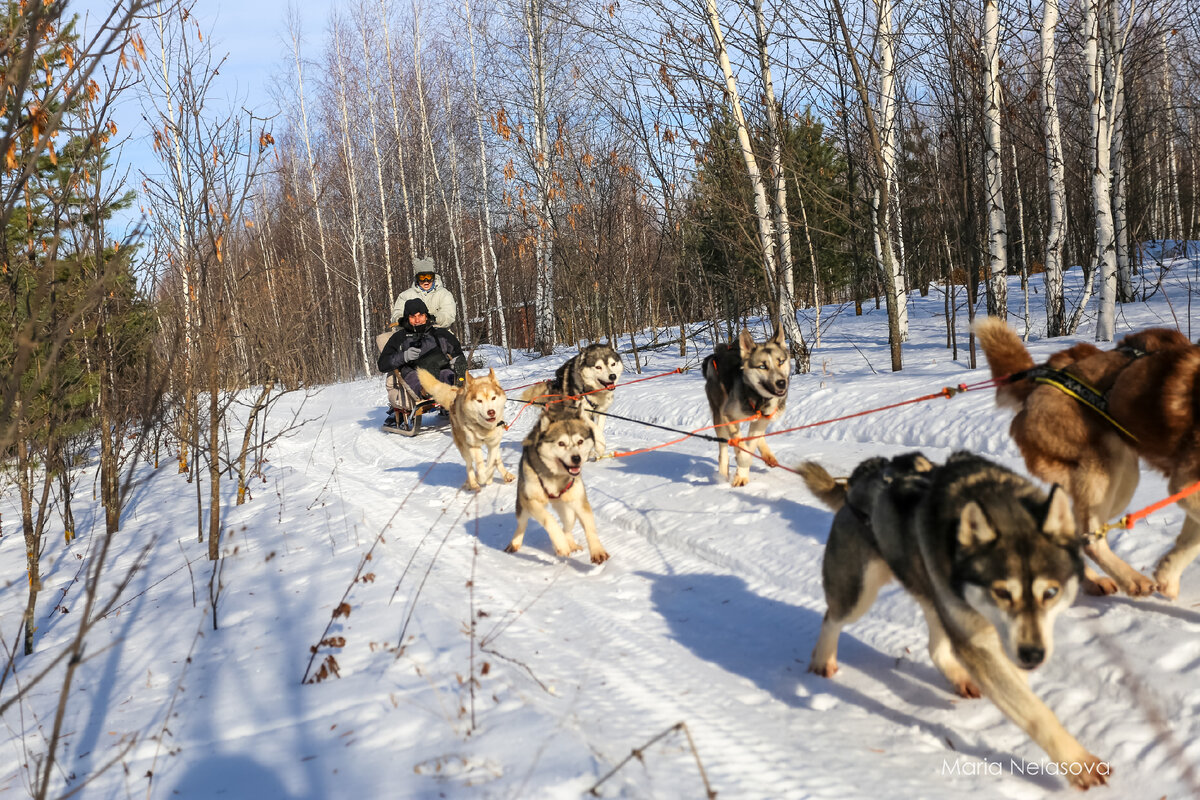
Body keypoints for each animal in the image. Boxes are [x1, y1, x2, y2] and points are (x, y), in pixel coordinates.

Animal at [504, 410, 609, 566]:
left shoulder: (580, 501)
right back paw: (515, 543)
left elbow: (590, 528)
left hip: (568, 511)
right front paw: (561, 544)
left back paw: (571, 543)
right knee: (522, 524)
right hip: (522, 506)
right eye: (561, 443)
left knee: (567, 527)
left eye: (580, 441)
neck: (556, 476)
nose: (576, 458)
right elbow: (549, 520)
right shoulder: (532, 501)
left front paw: (597, 551)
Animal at [700, 326, 792, 489]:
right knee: (723, 449)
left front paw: (742, 472)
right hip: (719, 415)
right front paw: (741, 469)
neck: (758, 398)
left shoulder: (762, 419)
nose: (781, 383)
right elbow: (742, 449)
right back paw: (723, 474)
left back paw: (767, 455)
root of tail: (718, 352)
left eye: (780, 362)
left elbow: (751, 443)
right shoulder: (728, 416)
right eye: (762, 366)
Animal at [801, 453, 1108, 791]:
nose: (1033, 655)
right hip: (861, 594)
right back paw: (823, 659)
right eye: (1002, 592)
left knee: (935, 646)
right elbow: (1035, 711)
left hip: (931, 593)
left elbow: (1020, 689)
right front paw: (1078, 761)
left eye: (1050, 593)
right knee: (832, 616)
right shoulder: (977, 641)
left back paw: (959, 677)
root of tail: (864, 473)